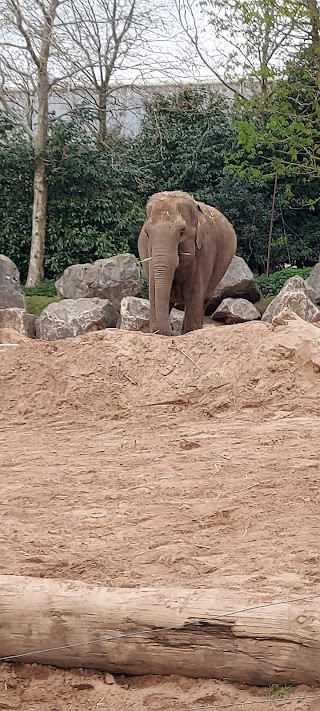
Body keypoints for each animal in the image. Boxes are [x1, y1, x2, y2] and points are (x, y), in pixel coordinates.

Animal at [138, 191, 238, 338]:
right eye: (147, 234)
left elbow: (194, 294)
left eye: (182, 232)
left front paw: (189, 331)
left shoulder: (206, 250)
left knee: (204, 300)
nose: (172, 330)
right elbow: (154, 291)